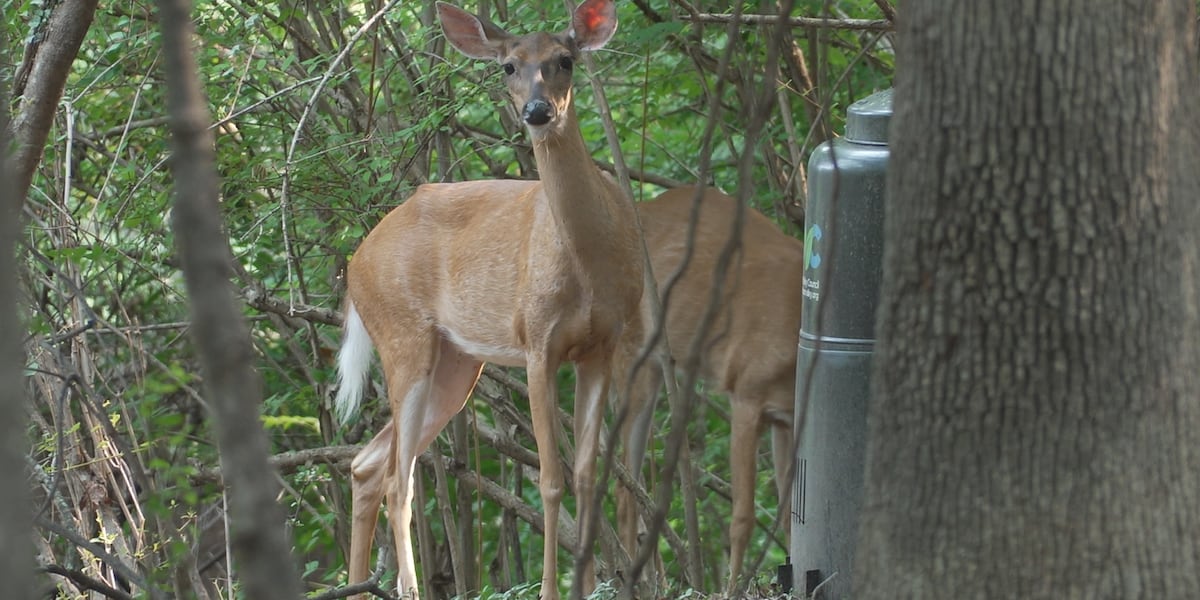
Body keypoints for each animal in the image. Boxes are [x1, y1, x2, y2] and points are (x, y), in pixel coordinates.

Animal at [332, 1, 644, 598]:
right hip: (403, 337)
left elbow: (587, 476)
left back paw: (360, 582)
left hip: (457, 363)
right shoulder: (537, 340)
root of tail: (355, 264)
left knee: (369, 462)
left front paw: (585, 584)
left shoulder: (604, 345)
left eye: (565, 59)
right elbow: (550, 480)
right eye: (508, 67)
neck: (587, 263)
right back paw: (407, 586)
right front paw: (550, 589)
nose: (538, 111)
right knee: (399, 479)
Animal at [618, 185, 804, 593]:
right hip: (637, 357)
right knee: (624, 491)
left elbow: (788, 514)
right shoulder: (747, 393)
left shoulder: (786, 419)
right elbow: (742, 518)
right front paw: (733, 589)